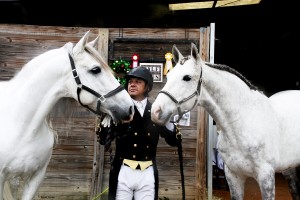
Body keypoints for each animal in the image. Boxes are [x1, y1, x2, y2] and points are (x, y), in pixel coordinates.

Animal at [151, 43, 300, 199]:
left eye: (187, 77)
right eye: (169, 76)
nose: (155, 111)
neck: (243, 123)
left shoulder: (266, 177)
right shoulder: (233, 176)